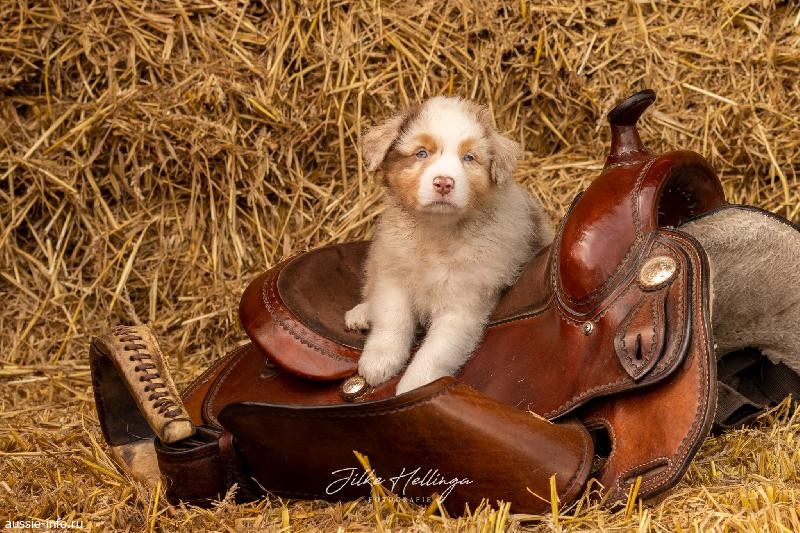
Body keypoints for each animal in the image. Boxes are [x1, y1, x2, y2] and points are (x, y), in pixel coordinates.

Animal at [344, 96, 554, 395]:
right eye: (421, 153)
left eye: (469, 158)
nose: (444, 183)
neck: (437, 233)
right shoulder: (394, 277)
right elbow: (392, 321)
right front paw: (379, 361)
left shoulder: (464, 304)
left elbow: (435, 352)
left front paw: (414, 388)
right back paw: (361, 313)